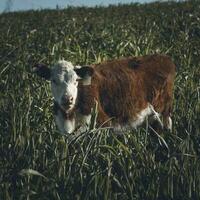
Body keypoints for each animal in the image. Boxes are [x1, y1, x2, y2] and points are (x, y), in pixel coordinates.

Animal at [33, 54, 176, 134]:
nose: (68, 99)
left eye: (76, 81)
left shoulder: (102, 123)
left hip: (163, 110)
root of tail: (164, 57)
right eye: (53, 80)